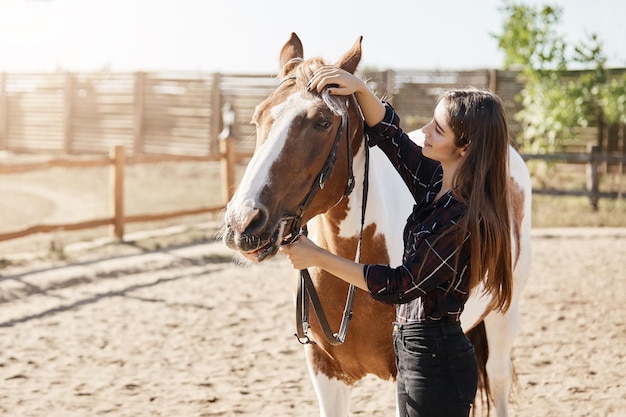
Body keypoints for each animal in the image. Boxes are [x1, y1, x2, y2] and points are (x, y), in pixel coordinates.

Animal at [222, 33, 528, 416]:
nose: (243, 222)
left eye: (322, 122)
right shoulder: (325, 373)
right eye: (258, 118)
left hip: (506, 313)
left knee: (498, 377)